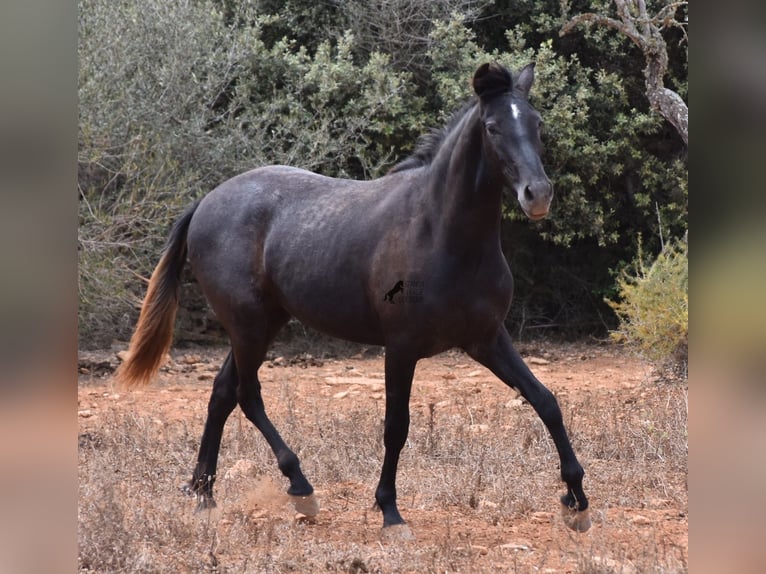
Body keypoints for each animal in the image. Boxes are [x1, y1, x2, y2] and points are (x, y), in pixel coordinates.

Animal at [115, 62, 592, 536]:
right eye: (492, 128)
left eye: (537, 123)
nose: (538, 194)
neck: (442, 234)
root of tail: (207, 202)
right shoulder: (401, 348)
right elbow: (396, 426)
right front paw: (390, 511)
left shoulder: (487, 339)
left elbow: (545, 401)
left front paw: (576, 500)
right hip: (248, 325)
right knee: (247, 394)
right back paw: (300, 488)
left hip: (263, 324)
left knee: (222, 393)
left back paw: (204, 494)